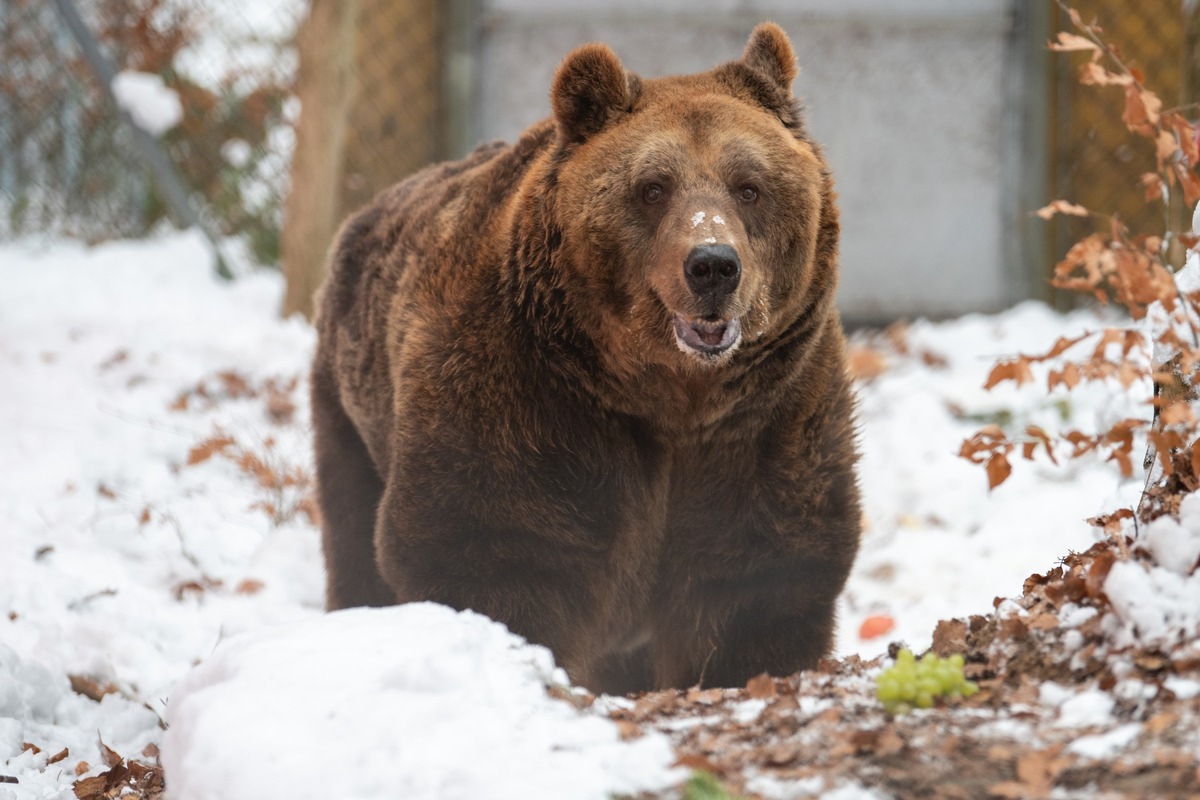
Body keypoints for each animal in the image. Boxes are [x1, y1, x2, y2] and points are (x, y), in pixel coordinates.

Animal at [309, 21, 854, 690]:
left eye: (749, 187)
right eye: (652, 188)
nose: (712, 265)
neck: (670, 397)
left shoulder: (769, 411)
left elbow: (760, 568)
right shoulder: (522, 394)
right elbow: (490, 544)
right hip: (351, 413)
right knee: (353, 536)